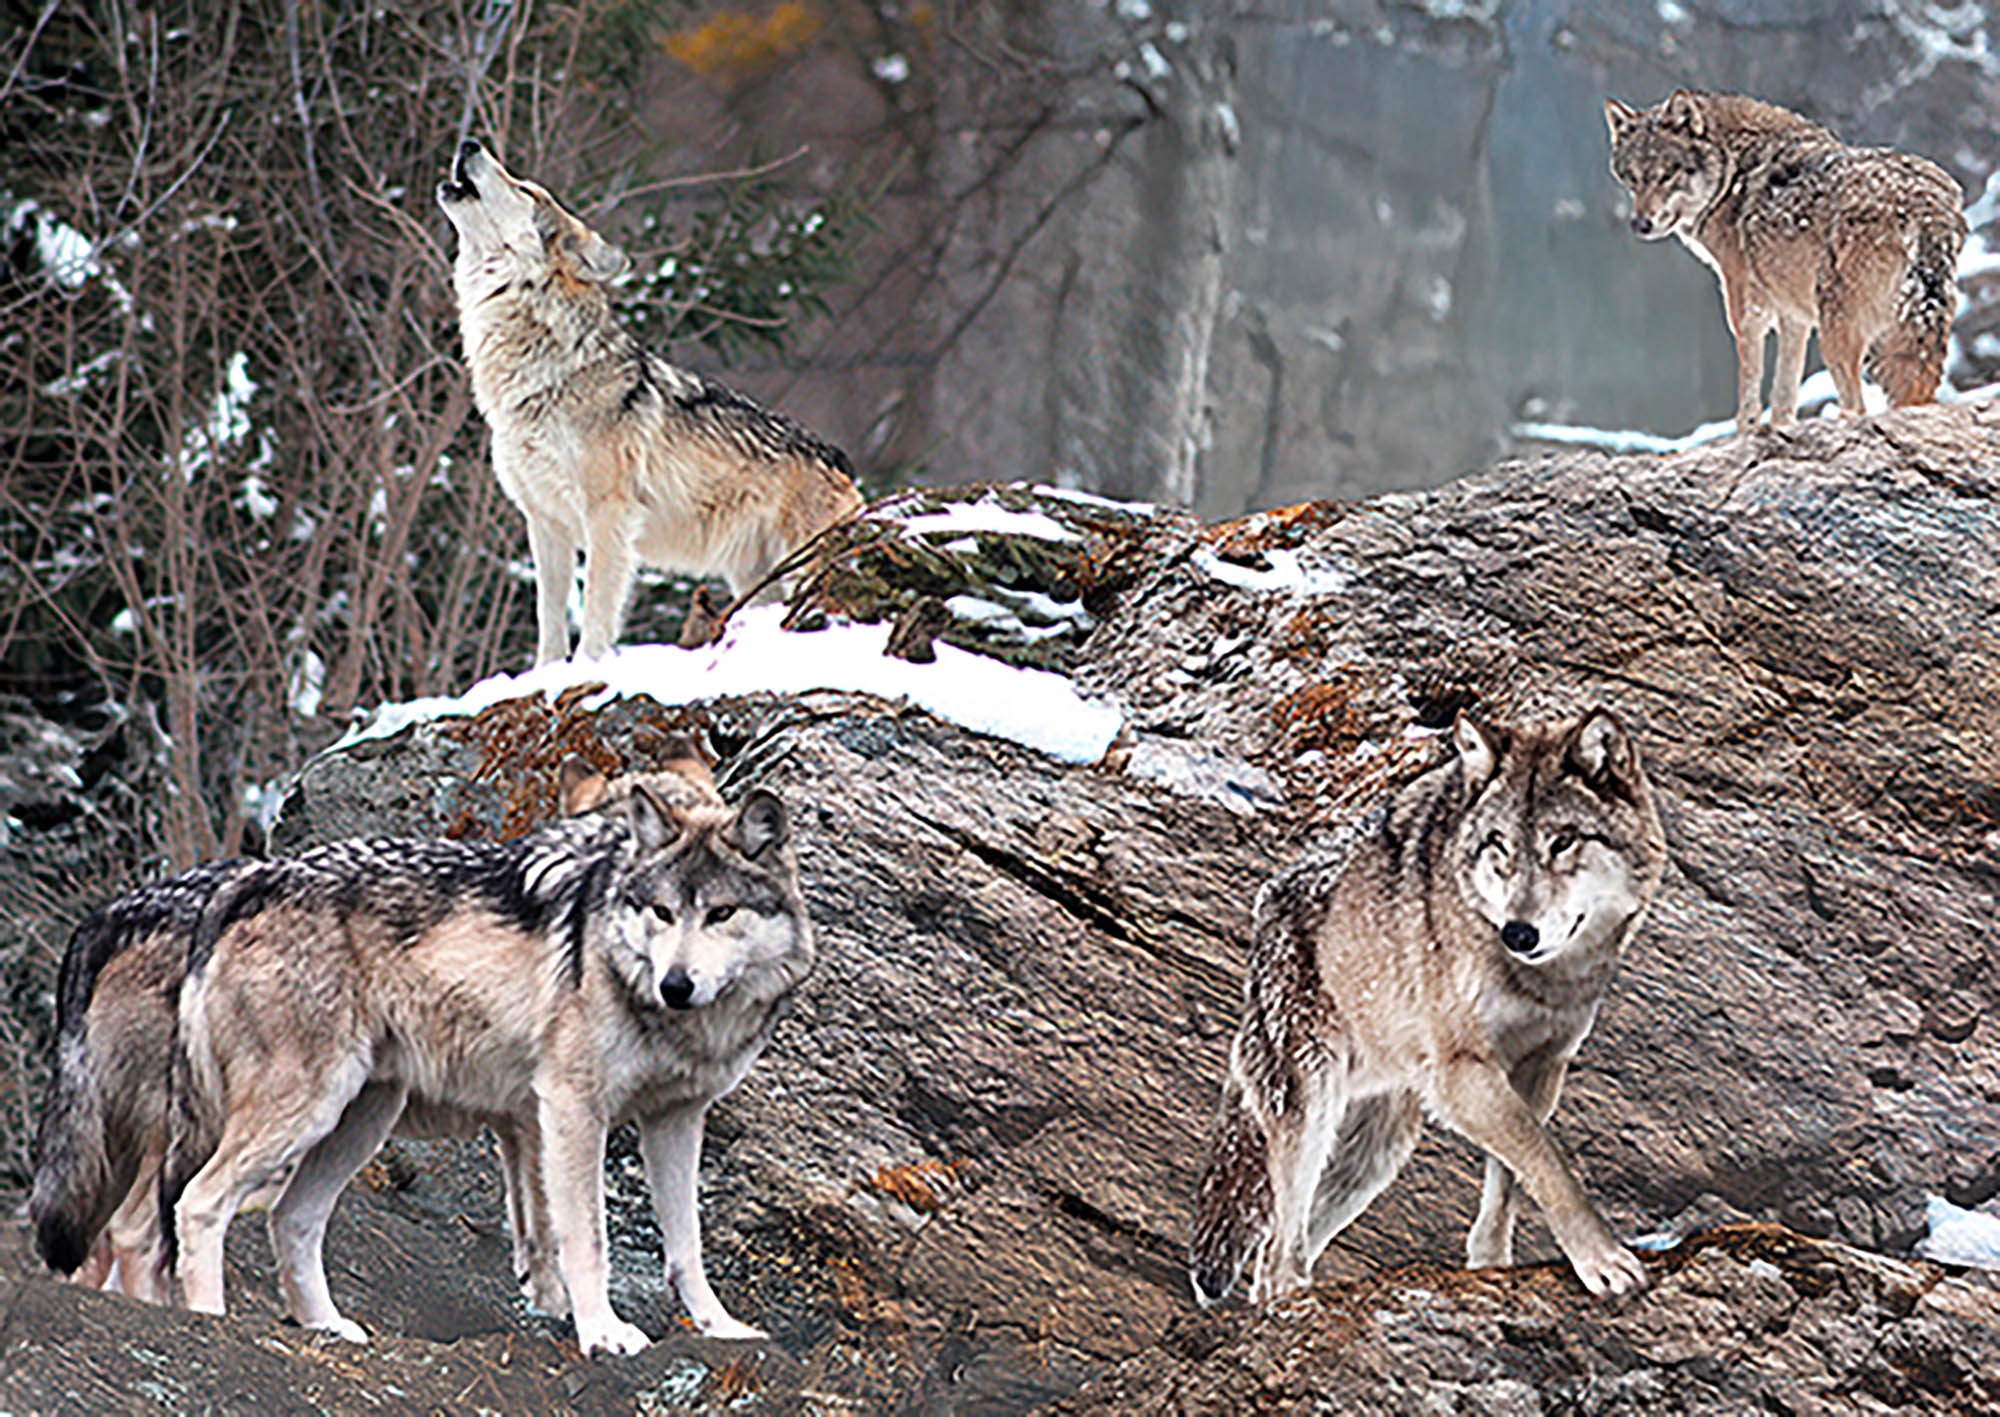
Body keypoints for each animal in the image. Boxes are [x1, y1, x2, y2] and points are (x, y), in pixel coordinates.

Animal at [153, 754, 812, 1355]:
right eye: (663, 913)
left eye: (720, 913)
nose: (675, 985)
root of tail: (249, 881)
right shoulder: (572, 1108)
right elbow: (586, 1237)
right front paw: (602, 1333)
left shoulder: (675, 1119)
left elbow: (685, 1245)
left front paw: (720, 1327)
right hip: (307, 1111)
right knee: (200, 1204)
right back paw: (209, 1323)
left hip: (360, 1120)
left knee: (289, 1218)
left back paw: (329, 1328)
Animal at [437, 140, 864, 664]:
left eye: (524, 188)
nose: (469, 143)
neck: (543, 372)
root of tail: (841, 460)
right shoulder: (544, 521)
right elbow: (549, 617)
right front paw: (548, 671)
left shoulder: (608, 514)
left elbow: (597, 610)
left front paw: (587, 667)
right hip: (755, 582)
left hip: (800, 566)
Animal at [1188, 708, 1667, 1307]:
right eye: (1499, 845)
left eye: (1562, 842)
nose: (1518, 933)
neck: (1546, 980)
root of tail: (1267, 899)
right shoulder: (1462, 1075)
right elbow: (1548, 1163)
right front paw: (1603, 1261)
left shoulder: (1540, 1069)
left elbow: (1511, 1180)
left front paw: (1491, 1266)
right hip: (1313, 1111)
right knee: (1277, 1251)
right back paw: (1293, 1303)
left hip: (1375, 1158)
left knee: (1272, 1255)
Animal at [1604, 90, 1964, 434]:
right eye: (1633, 178)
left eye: (1668, 174)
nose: (1640, 224)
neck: (1729, 173)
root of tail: (1922, 203)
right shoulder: (1794, 314)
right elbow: (1783, 397)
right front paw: (1782, 430)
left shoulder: (1748, 312)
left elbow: (1750, 395)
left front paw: (1747, 434)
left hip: (1838, 332)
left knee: (1857, 406)